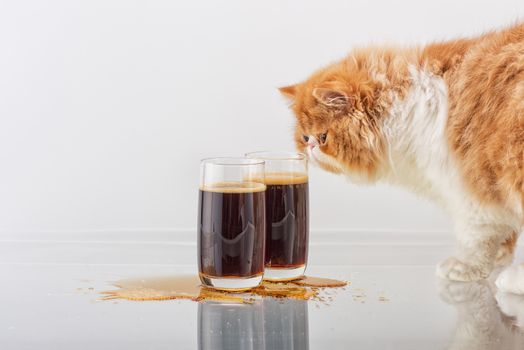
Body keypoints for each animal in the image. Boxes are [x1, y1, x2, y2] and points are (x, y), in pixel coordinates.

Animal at [280, 21, 524, 292]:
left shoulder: (468, 189)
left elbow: (476, 240)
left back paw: (513, 281)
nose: (310, 147)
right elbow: (503, 233)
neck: (404, 108)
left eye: (323, 137)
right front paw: (500, 256)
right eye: (304, 138)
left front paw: (465, 267)